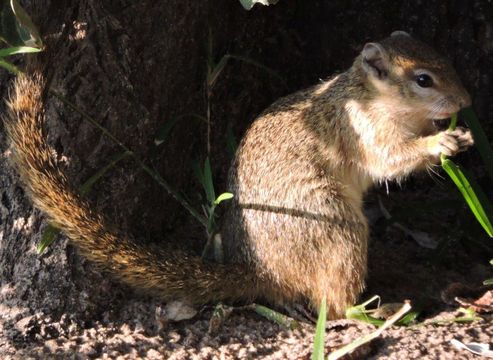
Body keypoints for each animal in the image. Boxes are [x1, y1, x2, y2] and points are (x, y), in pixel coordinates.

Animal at [3, 30, 472, 318]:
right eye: (423, 79)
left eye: (448, 60)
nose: (465, 100)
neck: (369, 95)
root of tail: (260, 271)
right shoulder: (363, 128)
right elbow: (391, 160)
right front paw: (440, 144)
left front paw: (454, 135)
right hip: (335, 227)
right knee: (333, 302)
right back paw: (374, 312)